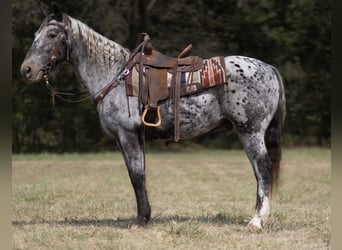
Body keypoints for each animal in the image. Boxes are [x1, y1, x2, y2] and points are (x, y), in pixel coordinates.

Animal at [20, 6, 284, 231]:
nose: (27, 70)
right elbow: (137, 174)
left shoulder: (128, 135)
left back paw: (256, 221)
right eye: (36, 34)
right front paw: (144, 216)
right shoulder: (126, 139)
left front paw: (141, 220)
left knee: (262, 169)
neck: (115, 75)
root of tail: (270, 69)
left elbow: (136, 176)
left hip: (250, 132)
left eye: (52, 34)